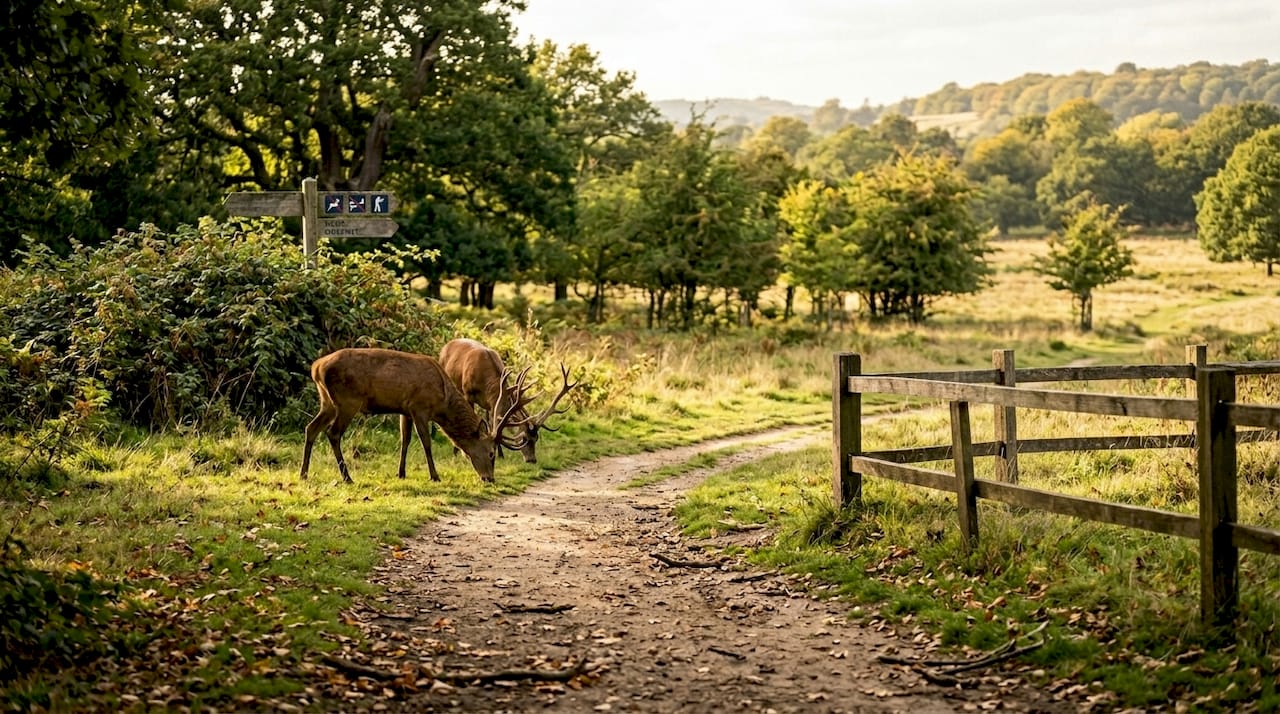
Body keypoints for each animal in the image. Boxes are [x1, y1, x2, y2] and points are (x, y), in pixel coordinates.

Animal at [299, 347, 532, 484]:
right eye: (491, 453)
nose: (490, 479)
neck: (442, 401)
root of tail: (316, 367)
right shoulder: (420, 408)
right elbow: (425, 442)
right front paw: (435, 476)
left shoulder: (406, 409)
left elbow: (405, 440)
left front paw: (401, 473)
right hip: (348, 400)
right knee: (333, 433)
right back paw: (347, 477)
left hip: (327, 401)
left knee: (311, 428)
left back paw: (303, 474)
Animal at [438, 338, 579, 464]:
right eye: (524, 439)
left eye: (536, 438)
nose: (532, 460)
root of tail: (446, 345)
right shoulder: (467, 394)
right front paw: (461, 453)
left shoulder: (491, 403)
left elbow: (493, 424)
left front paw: (500, 454)